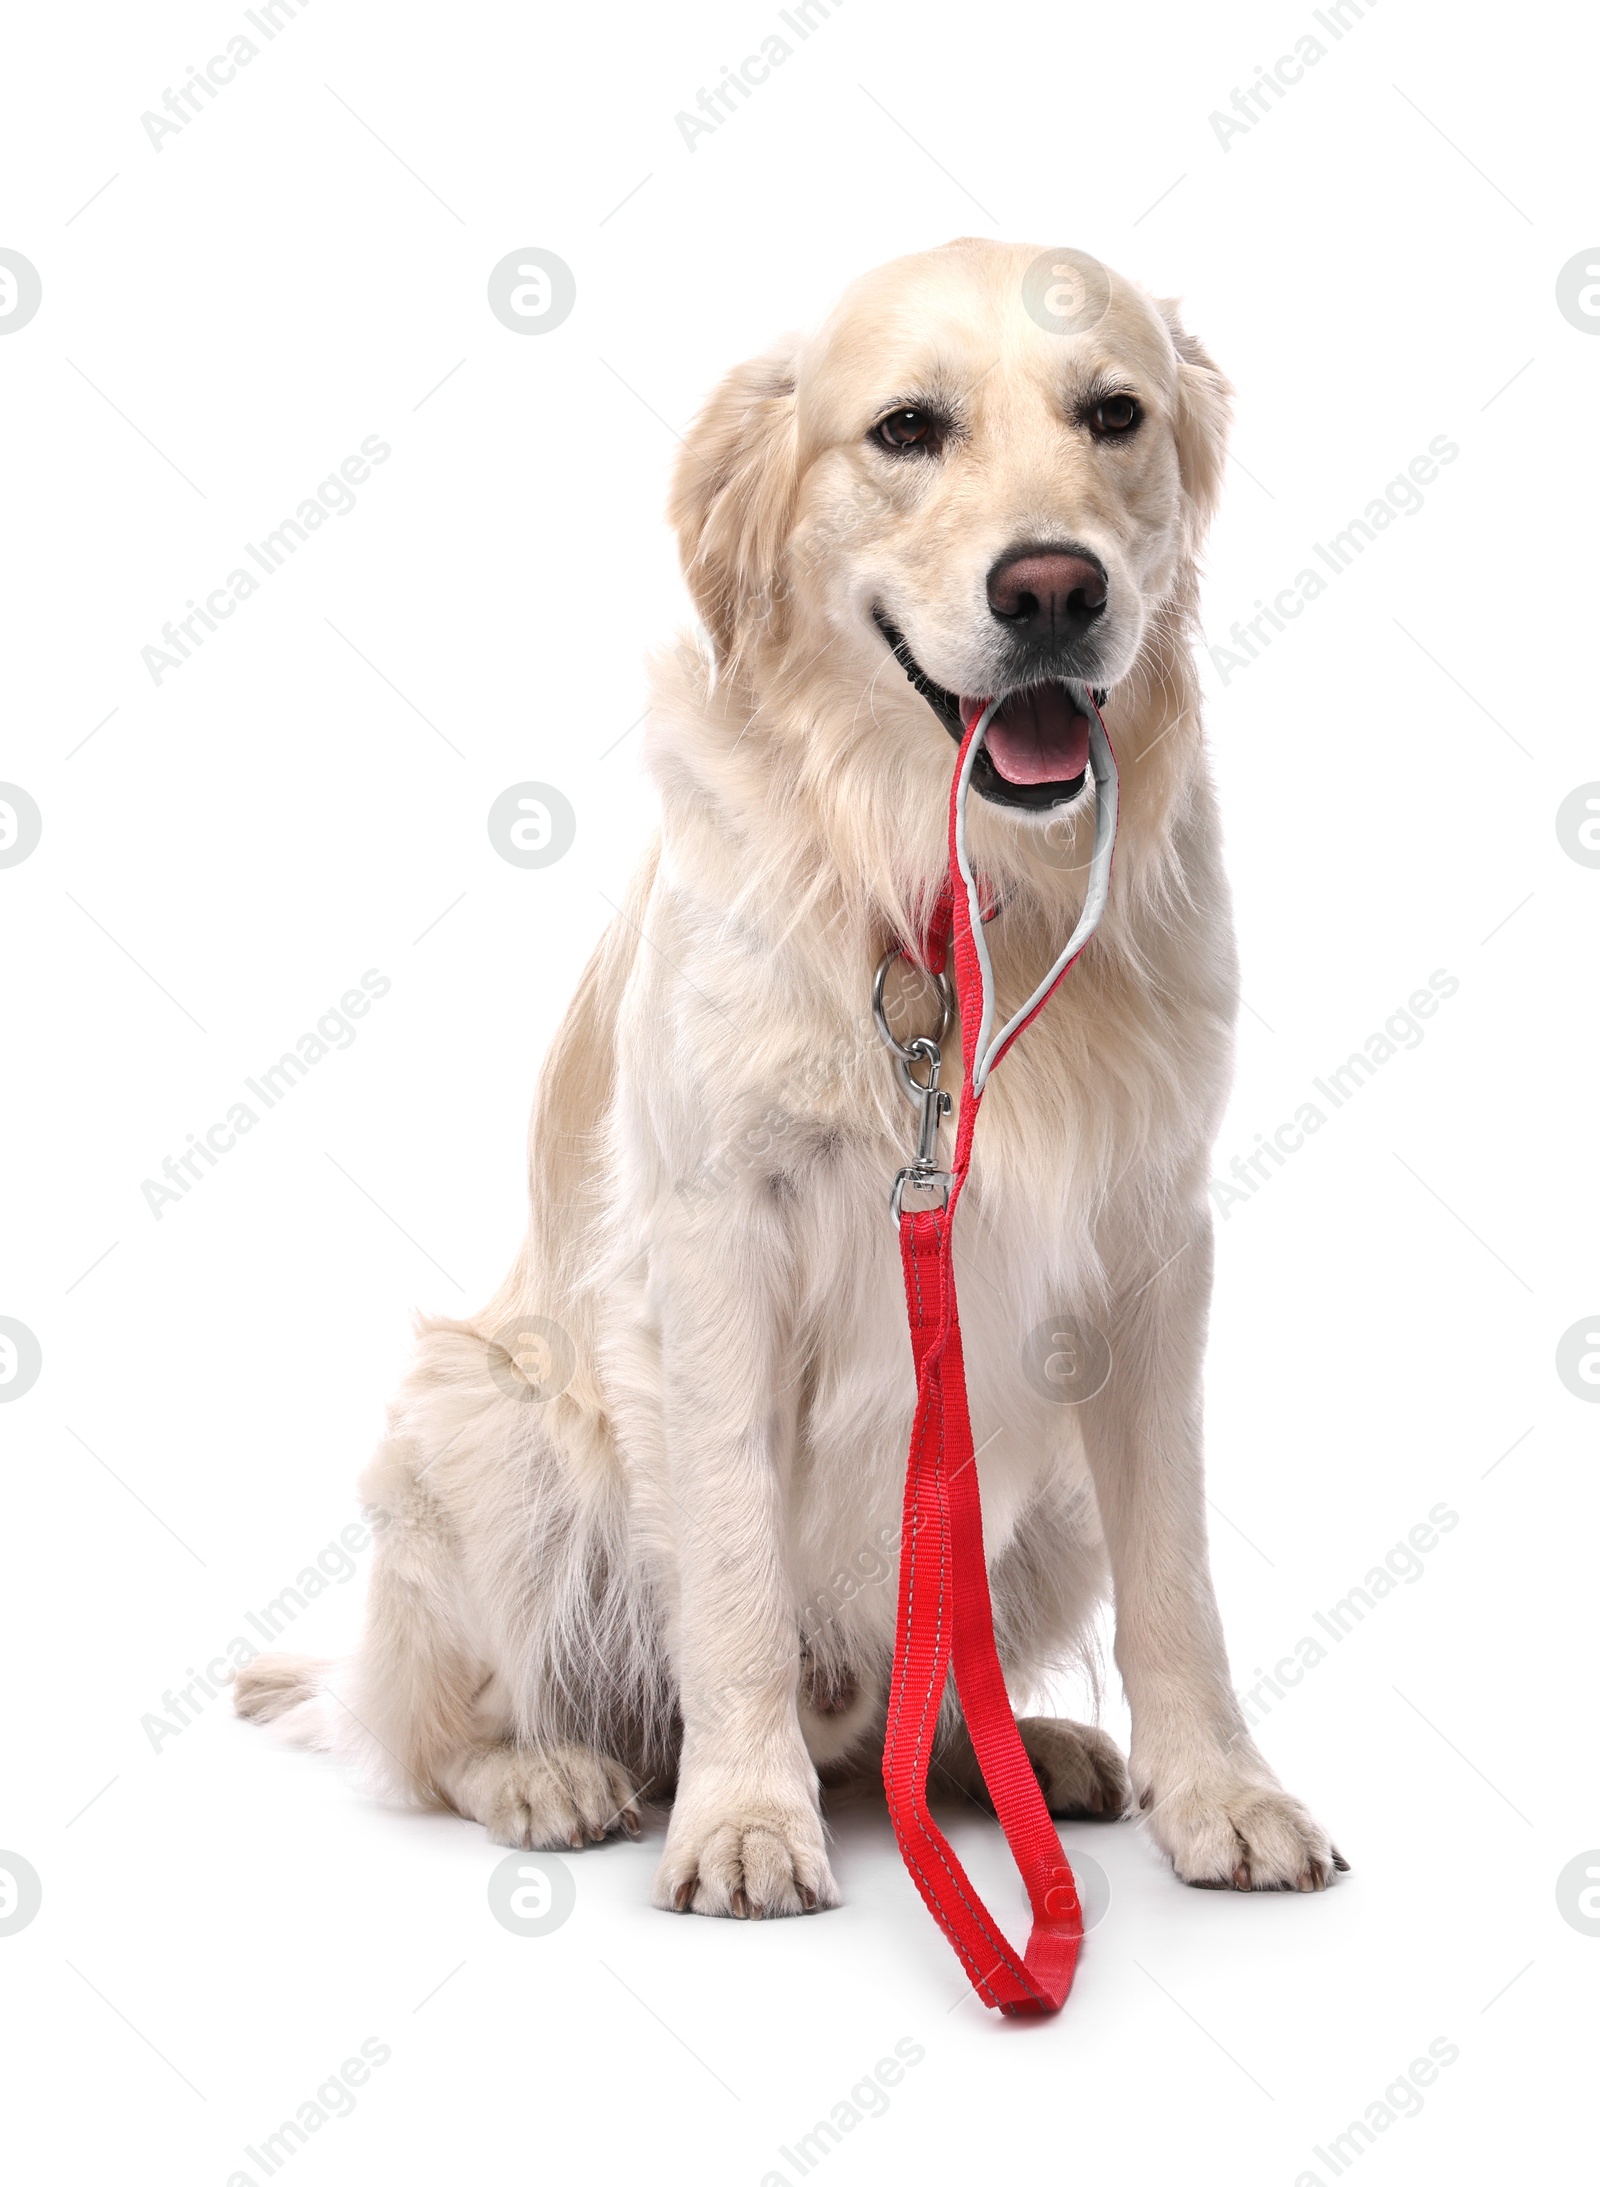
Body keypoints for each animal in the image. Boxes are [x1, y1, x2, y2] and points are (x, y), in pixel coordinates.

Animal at [233, 239, 1337, 1915]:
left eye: (1114, 413)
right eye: (906, 430)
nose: (1055, 587)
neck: (956, 884)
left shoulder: (1155, 1237)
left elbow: (1177, 1572)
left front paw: (1219, 1787)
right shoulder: (716, 1235)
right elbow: (736, 1559)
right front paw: (744, 1815)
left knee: (916, 1700)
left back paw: (1015, 1752)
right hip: (485, 1423)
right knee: (435, 1729)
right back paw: (556, 1770)